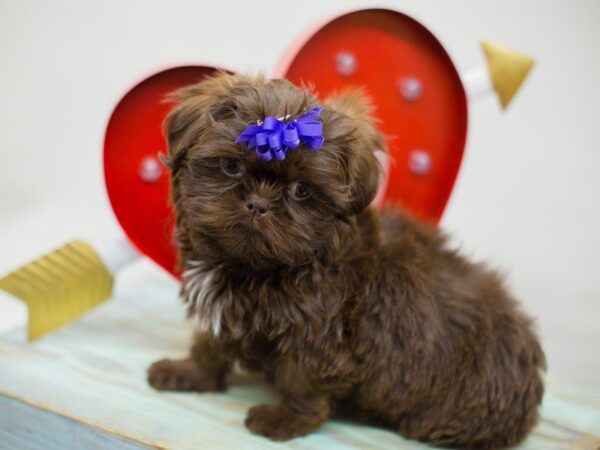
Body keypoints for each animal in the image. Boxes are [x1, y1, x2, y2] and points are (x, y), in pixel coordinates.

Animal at [148, 72, 548, 448]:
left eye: (302, 190)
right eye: (231, 166)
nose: (258, 205)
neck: (254, 266)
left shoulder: (317, 333)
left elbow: (302, 379)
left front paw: (287, 419)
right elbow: (209, 343)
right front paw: (190, 371)